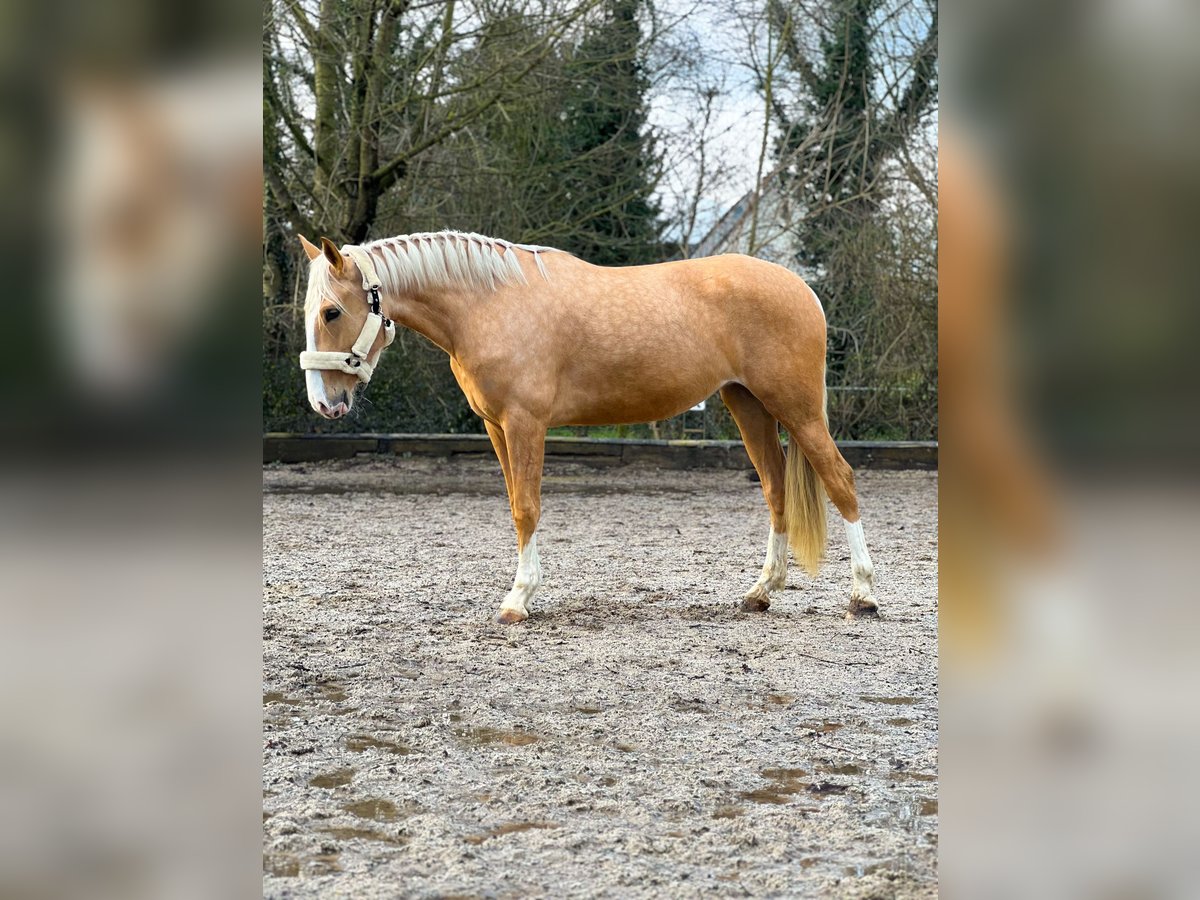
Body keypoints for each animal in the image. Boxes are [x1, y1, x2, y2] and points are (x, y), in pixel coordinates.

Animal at [297, 234, 883, 628]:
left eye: (332, 312)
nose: (324, 404)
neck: (489, 302)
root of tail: (802, 289)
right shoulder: (496, 428)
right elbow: (514, 504)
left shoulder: (525, 424)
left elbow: (526, 508)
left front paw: (518, 599)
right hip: (749, 405)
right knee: (775, 488)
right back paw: (762, 591)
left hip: (797, 409)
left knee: (841, 480)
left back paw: (863, 596)